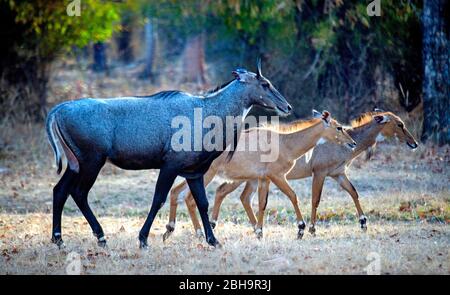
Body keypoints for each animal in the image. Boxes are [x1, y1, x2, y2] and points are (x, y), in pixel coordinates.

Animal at [163, 111, 356, 240]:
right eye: (339, 127)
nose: (353, 143)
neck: (285, 143)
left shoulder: (264, 178)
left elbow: (262, 203)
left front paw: (259, 232)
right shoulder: (277, 175)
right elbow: (293, 196)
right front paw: (301, 229)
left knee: (176, 191)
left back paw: (170, 229)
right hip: (206, 175)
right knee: (188, 197)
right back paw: (198, 233)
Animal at [195, 111, 420, 238]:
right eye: (399, 124)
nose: (414, 143)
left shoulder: (338, 174)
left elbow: (354, 192)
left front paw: (363, 223)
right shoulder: (319, 172)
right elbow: (315, 199)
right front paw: (310, 229)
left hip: (251, 178)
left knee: (239, 196)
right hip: (242, 177)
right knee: (223, 191)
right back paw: (214, 226)